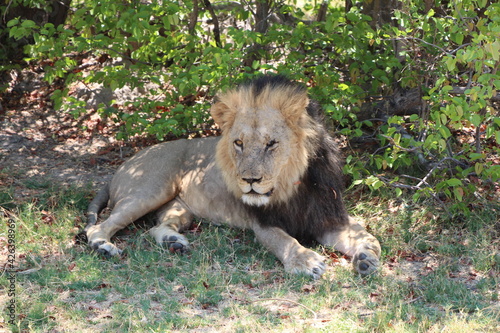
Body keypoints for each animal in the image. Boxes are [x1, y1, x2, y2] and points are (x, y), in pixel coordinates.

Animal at [86, 75, 380, 278]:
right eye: (239, 143)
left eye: (271, 144)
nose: (249, 181)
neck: (292, 187)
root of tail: (125, 164)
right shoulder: (263, 224)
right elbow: (285, 241)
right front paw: (306, 261)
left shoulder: (329, 217)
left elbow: (367, 236)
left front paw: (366, 257)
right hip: (149, 190)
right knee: (96, 227)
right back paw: (104, 247)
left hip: (180, 208)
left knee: (156, 227)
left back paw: (174, 242)